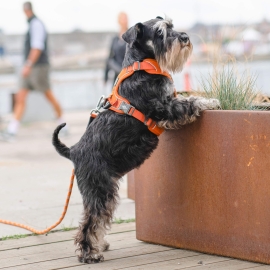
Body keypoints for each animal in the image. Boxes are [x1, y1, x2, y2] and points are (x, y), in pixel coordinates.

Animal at [52, 15, 219, 264]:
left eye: (171, 25)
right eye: (159, 32)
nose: (184, 37)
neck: (142, 64)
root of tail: (73, 151)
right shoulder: (165, 108)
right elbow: (191, 102)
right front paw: (213, 102)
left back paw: (99, 245)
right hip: (100, 191)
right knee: (90, 222)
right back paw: (90, 254)